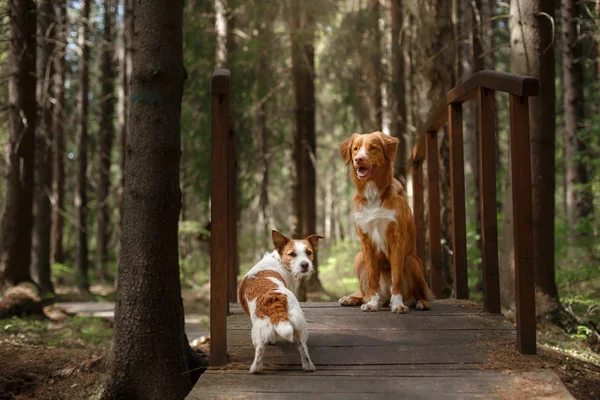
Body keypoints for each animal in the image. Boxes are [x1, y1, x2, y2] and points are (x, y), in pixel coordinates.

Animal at [238, 230, 324, 374]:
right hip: (299, 327)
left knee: (261, 350)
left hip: (259, 331)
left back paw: (255, 369)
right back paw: (309, 367)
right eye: (292, 254)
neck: (278, 260)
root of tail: (275, 297)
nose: (305, 264)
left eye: (308, 252)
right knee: (302, 348)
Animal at [338, 131, 432, 312]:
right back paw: (355, 299)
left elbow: (396, 276)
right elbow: (372, 278)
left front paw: (398, 304)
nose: (358, 159)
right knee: (367, 292)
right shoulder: (366, 241)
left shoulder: (396, 238)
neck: (373, 194)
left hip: (411, 260)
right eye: (355, 149)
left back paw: (420, 302)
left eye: (373, 148)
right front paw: (372, 303)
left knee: (422, 292)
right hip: (359, 258)